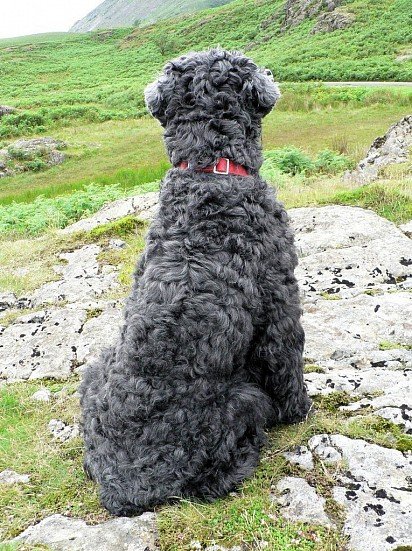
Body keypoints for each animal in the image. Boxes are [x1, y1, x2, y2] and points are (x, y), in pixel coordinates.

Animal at [79, 48, 308, 516]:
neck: (209, 174)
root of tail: (126, 489)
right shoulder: (279, 294)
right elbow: (286, 357)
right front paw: (300, 408)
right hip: (241, 401)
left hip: (94, 370)